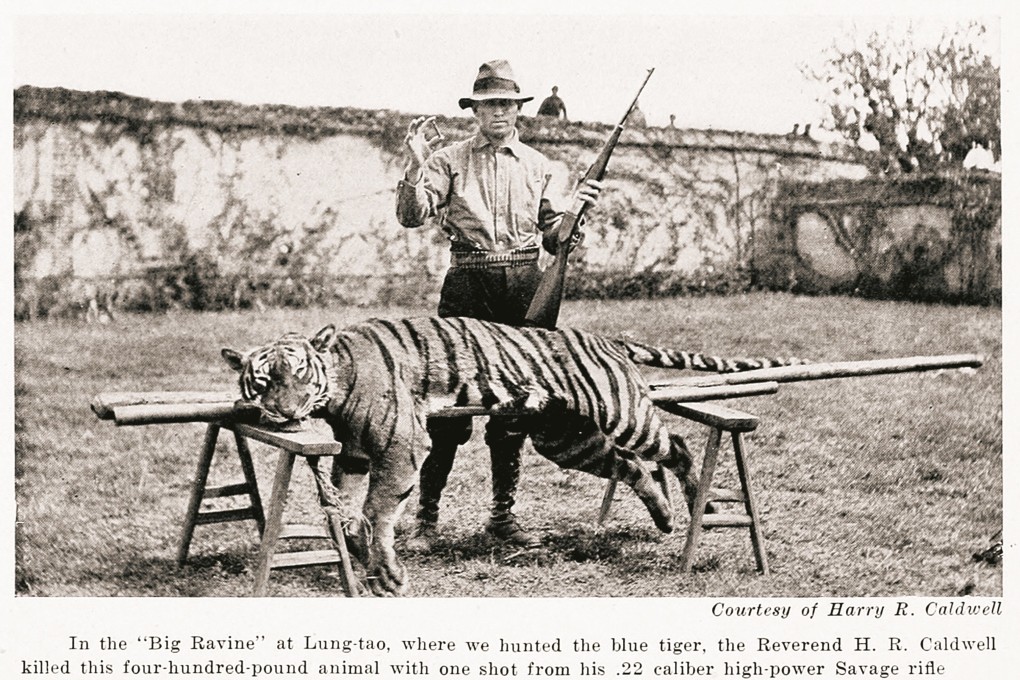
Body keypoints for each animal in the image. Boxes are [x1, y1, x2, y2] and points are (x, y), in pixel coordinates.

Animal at [222, 316, 804, 596]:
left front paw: (386, 575)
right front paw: (357, 549)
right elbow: (344, 509)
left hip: (625, 417)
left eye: (299, 373)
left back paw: (701, 506)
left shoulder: (401, 448)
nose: (284, 412)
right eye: (264, 380)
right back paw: (662, 517)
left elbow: (377, 510)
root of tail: (606, 338)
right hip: (567, 440)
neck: (336, 383)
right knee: (632, 467)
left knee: (676, 448)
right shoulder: (355, 456)